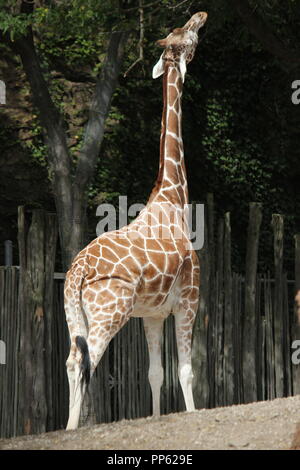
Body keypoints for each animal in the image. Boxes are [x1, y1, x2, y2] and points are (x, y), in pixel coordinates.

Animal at [64, 11, 207, 430]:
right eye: (188, 36)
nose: (202, 15)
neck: (173, 198)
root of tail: (77, 272)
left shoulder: (153, 312)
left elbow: (155, 373)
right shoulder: (190, 297)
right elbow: (186, 370)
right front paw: (192, 415)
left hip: (74, 313)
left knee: (71, 360)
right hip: (108, 312)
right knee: (86, 362)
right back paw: (72, 430)